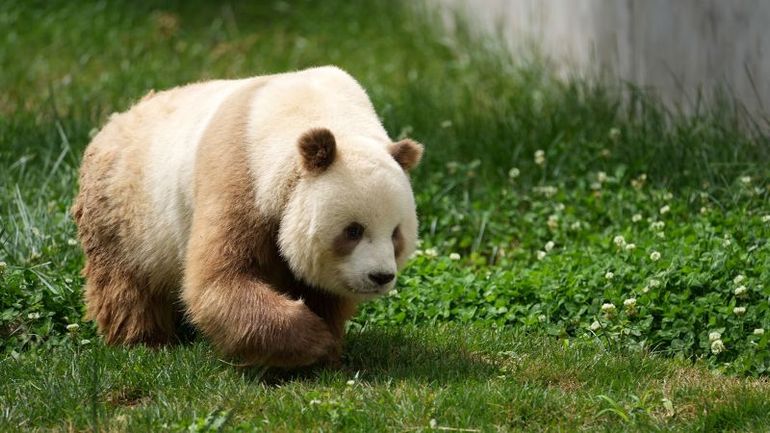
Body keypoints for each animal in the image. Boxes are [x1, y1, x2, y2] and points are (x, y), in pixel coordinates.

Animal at [72, 66, 423, 367]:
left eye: (396, 233)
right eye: (353, 230)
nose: (380, 276)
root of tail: (114, 120)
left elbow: (321, 291)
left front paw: (327, 348)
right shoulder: (239, 171)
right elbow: (219, 280)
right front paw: (312, 340)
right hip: (123, 212)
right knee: (125, 285)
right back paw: (144, 341)